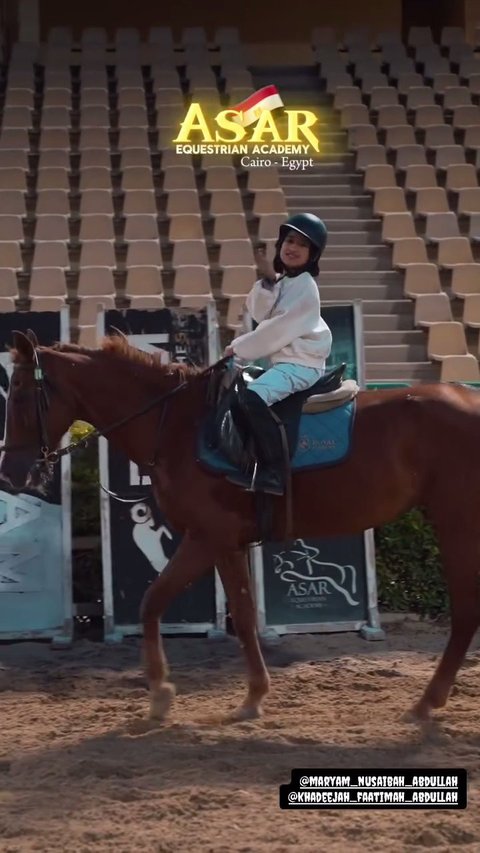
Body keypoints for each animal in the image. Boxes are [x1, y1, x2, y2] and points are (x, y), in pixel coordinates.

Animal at [0, 330, 480, 724]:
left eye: (19, 395)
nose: (11, 474)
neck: (179, 425)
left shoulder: (208, 538)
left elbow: (164, 604)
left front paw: (164, 693)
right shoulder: (221, 543)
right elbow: (232, 614)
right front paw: (245, 697)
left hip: (457, 523)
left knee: (464, 613)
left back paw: (426, 703)